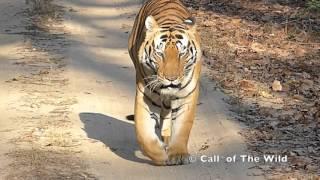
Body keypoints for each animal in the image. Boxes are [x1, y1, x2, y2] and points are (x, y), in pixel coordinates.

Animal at [127, 0, 200, 166]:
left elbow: (183, 127)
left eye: (182, 53)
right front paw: (160, 156)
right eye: (160, 53)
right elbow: (143, 135)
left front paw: (178, 154)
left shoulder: (189, 96)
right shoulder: (143, 95)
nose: (171, 78)